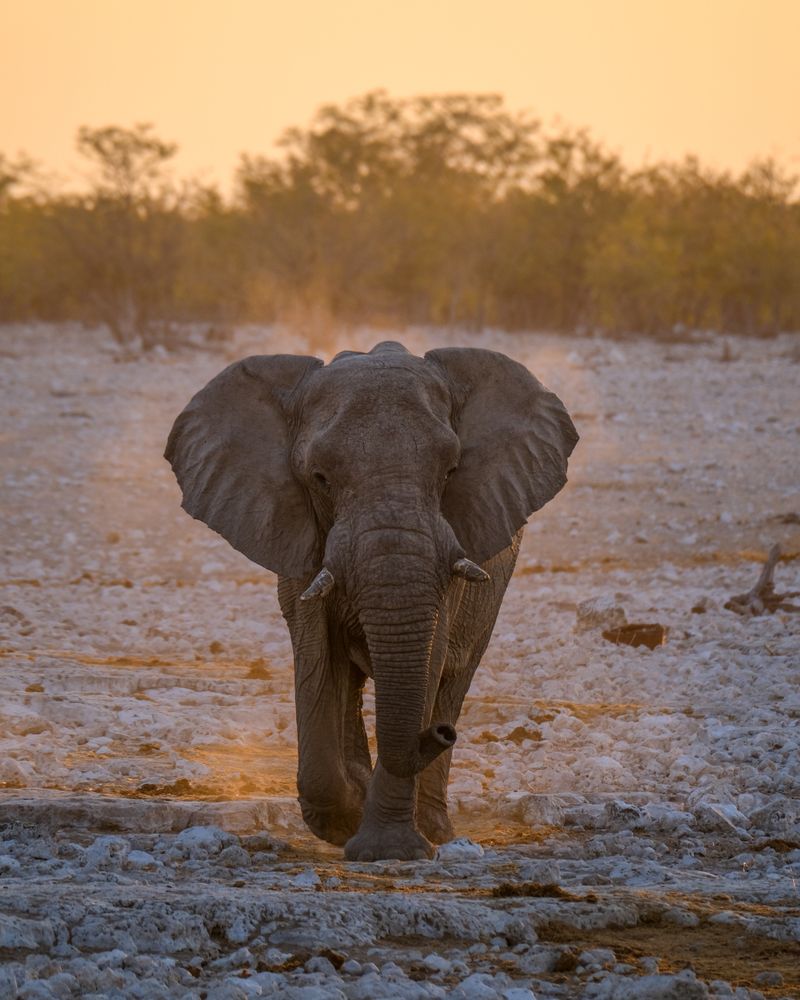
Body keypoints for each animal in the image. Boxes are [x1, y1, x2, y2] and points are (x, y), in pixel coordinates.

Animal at [165, 341, 578, 861]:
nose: (440, 736)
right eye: (320, 477)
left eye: (451, 471)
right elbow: (317, 657)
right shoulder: (300, 540)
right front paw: (345, 821)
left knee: (453, 678)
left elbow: (429, 658)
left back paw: (436, 826)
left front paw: (389, 849)